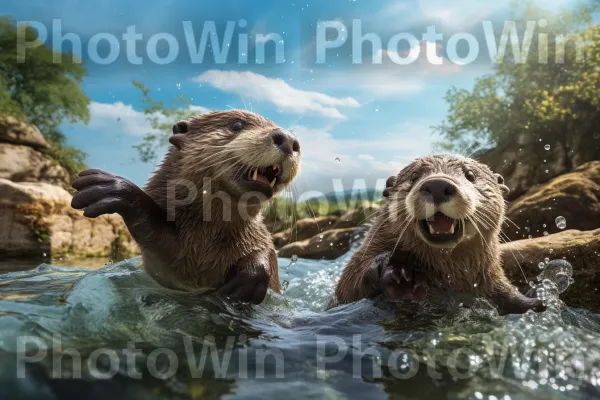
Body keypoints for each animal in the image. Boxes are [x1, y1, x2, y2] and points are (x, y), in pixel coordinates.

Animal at [71, 109, 300, 304]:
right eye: (237, 124)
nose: (289, 139)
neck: (210, 238)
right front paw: (113, 188)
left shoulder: (255, 234)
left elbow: (268, 248)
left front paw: (251, 275)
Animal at [332, 155, 544, 314]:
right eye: (414, 176)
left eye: (470, 175)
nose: (437, 185)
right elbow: (349, 286)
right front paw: (397, 271)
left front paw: (536, 303)